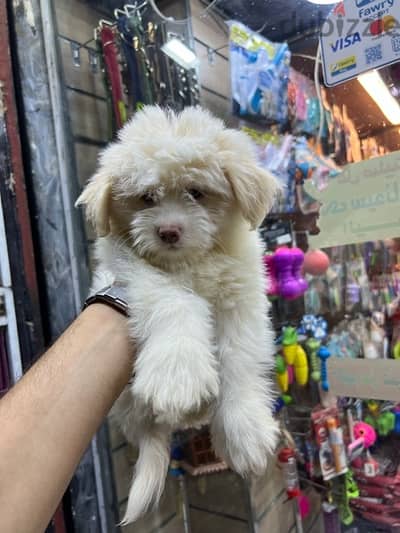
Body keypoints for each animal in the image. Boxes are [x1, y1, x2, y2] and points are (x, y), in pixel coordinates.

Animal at [76, 105, 280, 524]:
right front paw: (177, 374)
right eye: (146, 198)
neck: (190, 264)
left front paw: (245, 429)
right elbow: (177, 302)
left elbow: (238, 356)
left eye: (196, 192)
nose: (168, 231)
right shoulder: (133, 272)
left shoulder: (243, 297)